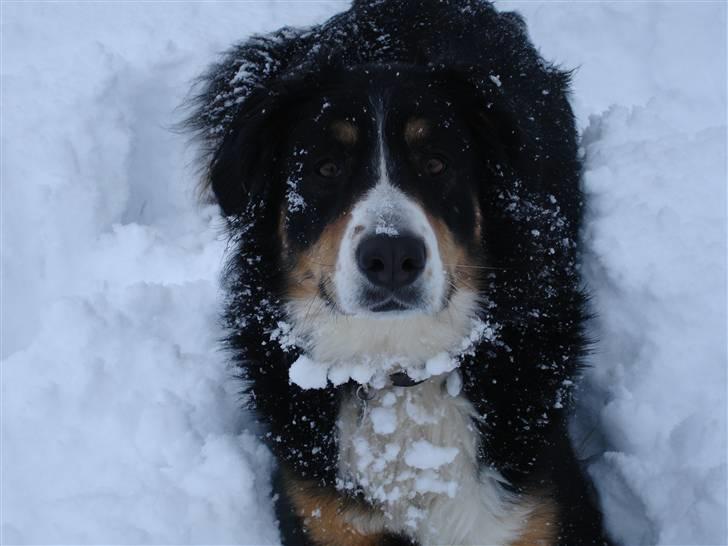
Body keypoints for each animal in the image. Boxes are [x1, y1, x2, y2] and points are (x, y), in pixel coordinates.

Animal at [185, 1, 612, 544]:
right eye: (325, 168)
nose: (391, 257)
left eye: (437, 163)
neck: (397, 375)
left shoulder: (544, 510)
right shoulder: (322, 514)